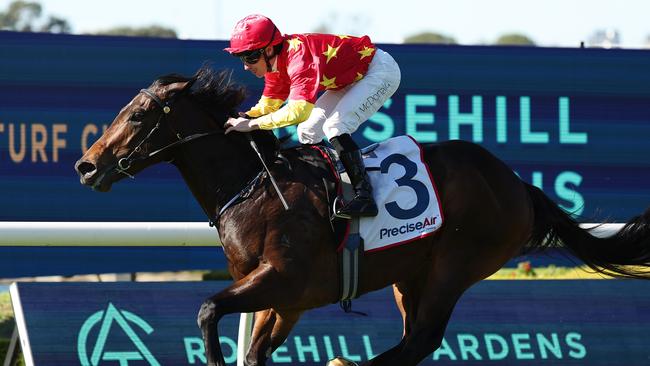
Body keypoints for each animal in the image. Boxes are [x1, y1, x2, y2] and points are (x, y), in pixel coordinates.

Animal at [73, 66, 648, 366]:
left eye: (138, 115)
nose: (86, 164)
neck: (255, 189)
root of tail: (516, 184)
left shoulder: (283, 279)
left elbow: (208, 310)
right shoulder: (286, 299)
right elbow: (252, 350)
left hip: (455, 264)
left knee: (419, 341)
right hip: (410, 275)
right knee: (414, 341)